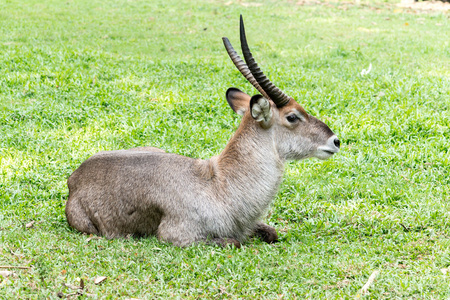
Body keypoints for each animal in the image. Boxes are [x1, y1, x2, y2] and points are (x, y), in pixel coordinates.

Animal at [65, 15, 340, 247]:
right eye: (292, 116)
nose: (335, 140)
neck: (219, 184)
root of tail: (73, 178)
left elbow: (272, 232)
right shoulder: (177, 236)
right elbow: (233, 241)